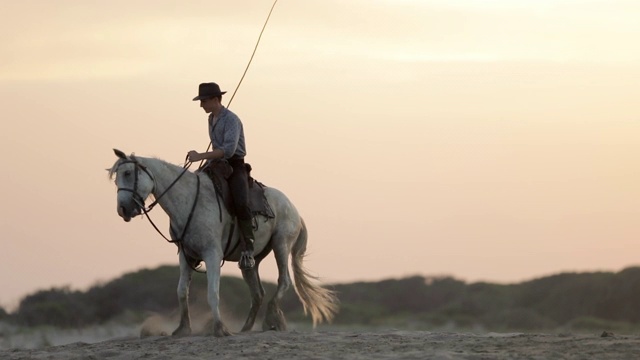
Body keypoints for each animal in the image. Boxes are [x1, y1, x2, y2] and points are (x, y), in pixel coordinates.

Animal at [109, 148, 340, 334]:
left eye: (128, 173)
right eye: (116, 178)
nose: (122, 210)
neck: (189, 200)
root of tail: (294, 210)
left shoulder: (212, 254)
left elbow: (213, 293)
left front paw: (220, 329)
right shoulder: (185, 255)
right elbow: (182, 291)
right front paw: (183, 329)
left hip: (281, 245)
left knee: (283, 281)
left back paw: (271, 320)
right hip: (251, 261)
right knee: (257, 293)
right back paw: (246, 328)